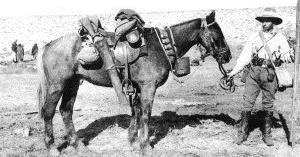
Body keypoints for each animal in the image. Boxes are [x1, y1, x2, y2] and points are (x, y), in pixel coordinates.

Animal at [37, 10, 232, 154]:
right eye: (218, 33)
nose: (227, 56)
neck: (160, 46)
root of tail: (49, 45)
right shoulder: (148, 87)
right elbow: (145, 115)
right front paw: (145, 146)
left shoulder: (137, 88)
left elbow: (136, 112)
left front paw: (132, 141)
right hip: (57, 86)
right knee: (48, 112)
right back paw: (52, 148)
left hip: (72, 84)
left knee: (66, 111)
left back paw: (78, 146)